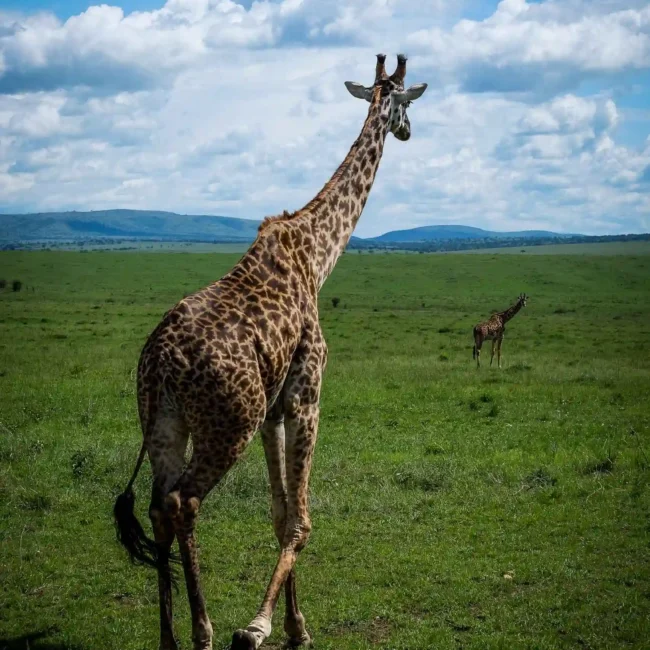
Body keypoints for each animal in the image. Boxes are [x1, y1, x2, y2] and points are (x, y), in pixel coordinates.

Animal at [113, 54, 427, 650]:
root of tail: (158, 362)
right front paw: (257, 627)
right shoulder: (306, 396)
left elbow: (280, 513)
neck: (317, 255)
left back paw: (169, 637)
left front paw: (296, 626)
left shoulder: (272, 413)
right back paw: (204, 631)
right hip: (224, 424)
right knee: (184, 502)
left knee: (159, 504)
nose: (407, 132)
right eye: (407, 101)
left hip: (164, 423)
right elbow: (301, 519)